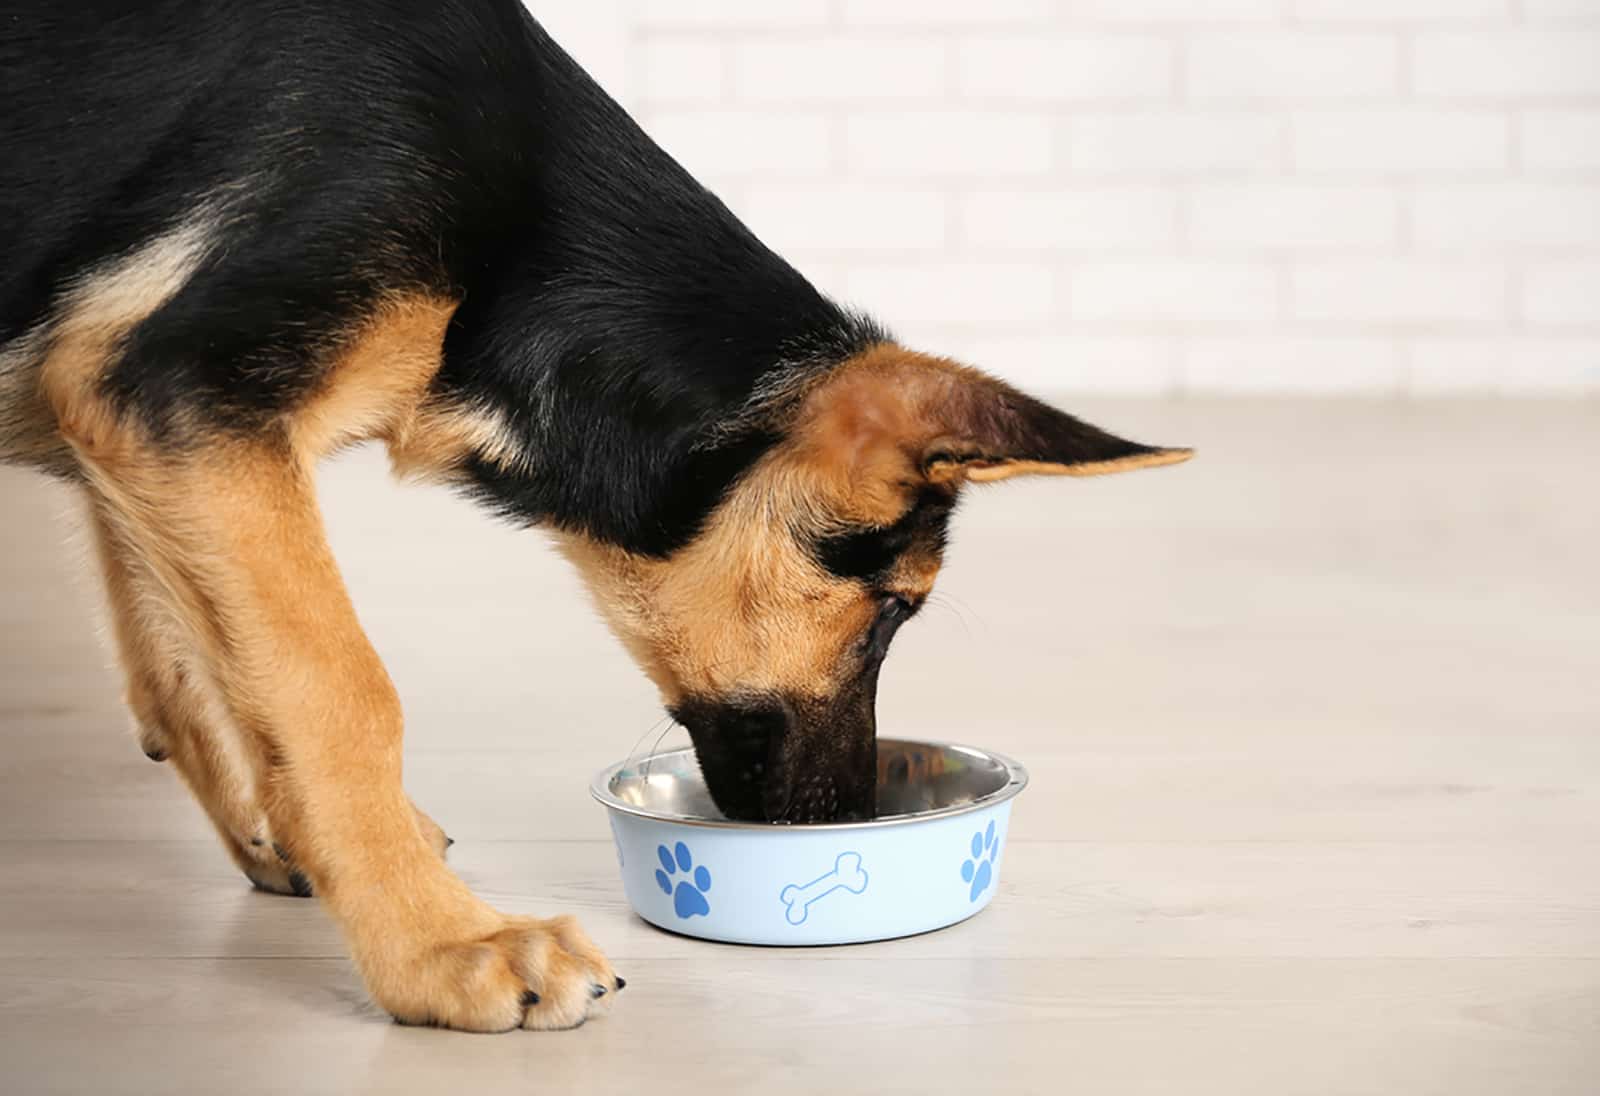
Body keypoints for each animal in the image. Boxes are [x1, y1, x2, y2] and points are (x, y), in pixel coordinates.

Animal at [0, 0, 1190, 1030]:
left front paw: (297, 840)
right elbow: (337, 689)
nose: (847, 825)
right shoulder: (182, 395)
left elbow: (192, 668)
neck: (519, 252)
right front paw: (440, 947)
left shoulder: (132, 425)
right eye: (894, 609)